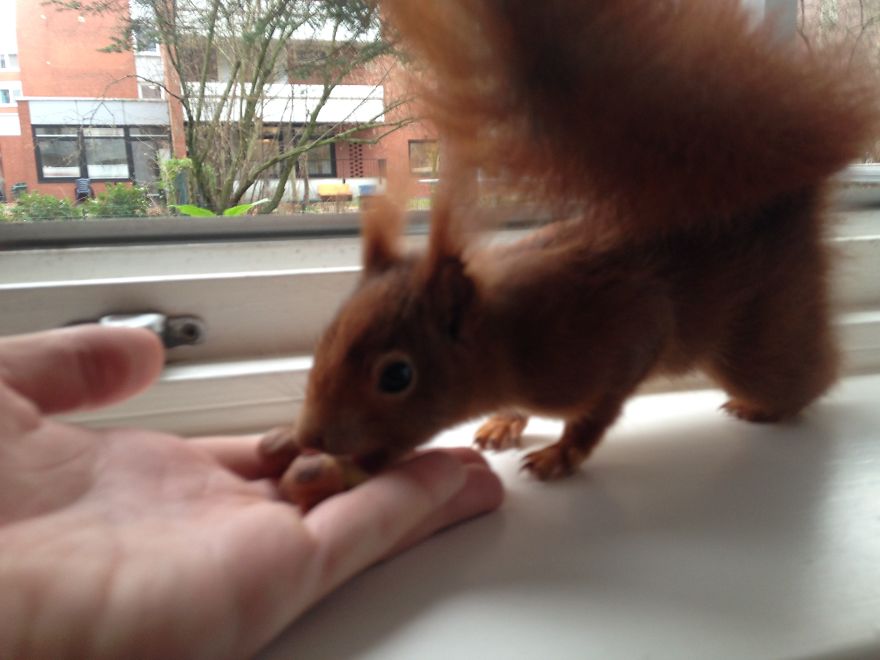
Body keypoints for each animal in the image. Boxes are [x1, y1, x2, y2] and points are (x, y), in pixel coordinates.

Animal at [260, 0, 879, 492]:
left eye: (397, 376)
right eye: (326, 336)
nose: (310, 436)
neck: (506, 336)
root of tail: (783, 192)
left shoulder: (620, 334)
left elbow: (601, 407)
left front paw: (562, 452)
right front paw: (506, 421)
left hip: (758, 332)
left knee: (800, 373)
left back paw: (766, 405)